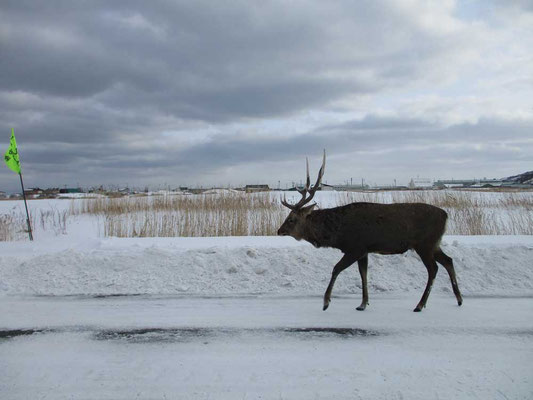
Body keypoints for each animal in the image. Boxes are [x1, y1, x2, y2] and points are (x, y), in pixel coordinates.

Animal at [278, 151, 462, 312]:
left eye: (292, 219)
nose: (279, 231)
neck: (337, 234)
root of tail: (445, 215)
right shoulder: (364, 250)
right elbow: (363, 274)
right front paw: (363, 304)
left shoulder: (356, 247)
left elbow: (336, 268)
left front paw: (326, 302)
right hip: (434, 243)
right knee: (448, 260)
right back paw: (459, 299)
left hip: (425, 243)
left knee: (433, 268)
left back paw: (420, 305)